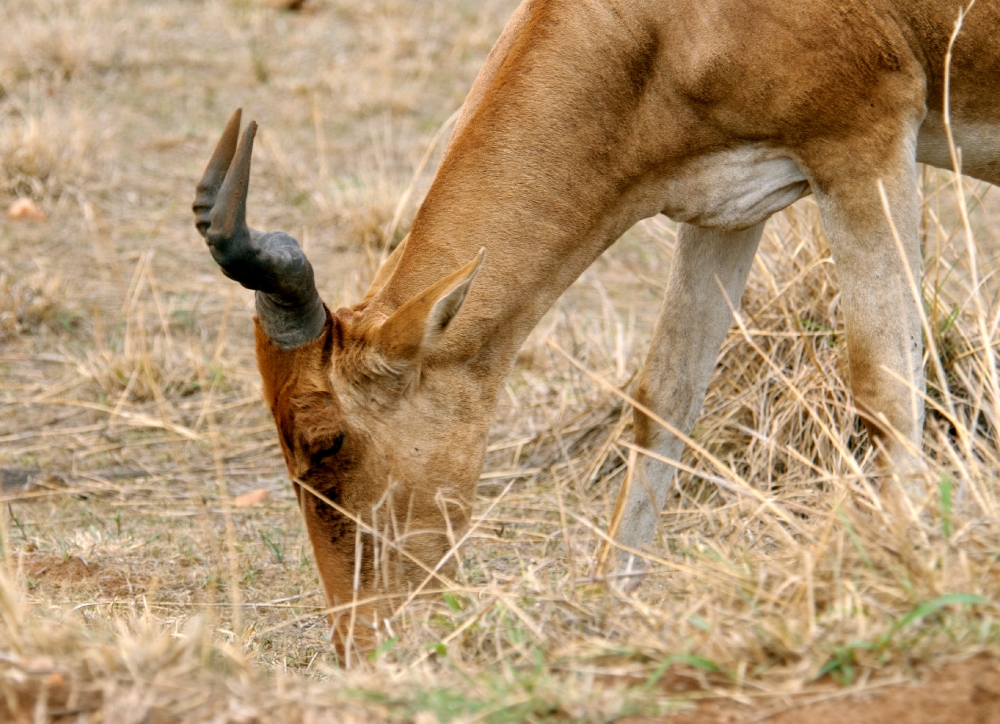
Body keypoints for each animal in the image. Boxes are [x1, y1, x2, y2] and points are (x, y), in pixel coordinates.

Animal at [193, 0, 1000, 652]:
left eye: (327, 440)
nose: (364, 644)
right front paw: (609, 603)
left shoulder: (865, 146)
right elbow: (662, 401)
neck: (658, 23)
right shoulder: (727, 207)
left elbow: (886, 392)